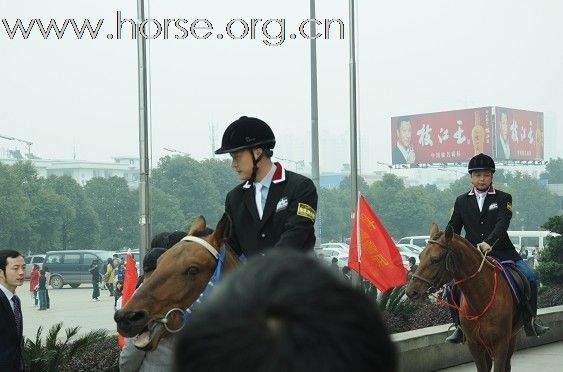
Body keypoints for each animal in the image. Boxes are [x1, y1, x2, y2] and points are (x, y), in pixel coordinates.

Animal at [406, 224, 520, 372]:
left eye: (435, 259)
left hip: (511, 338)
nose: (411, 292)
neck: (480, 299)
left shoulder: (501, 343)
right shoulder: (474, 345)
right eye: (420, 256)